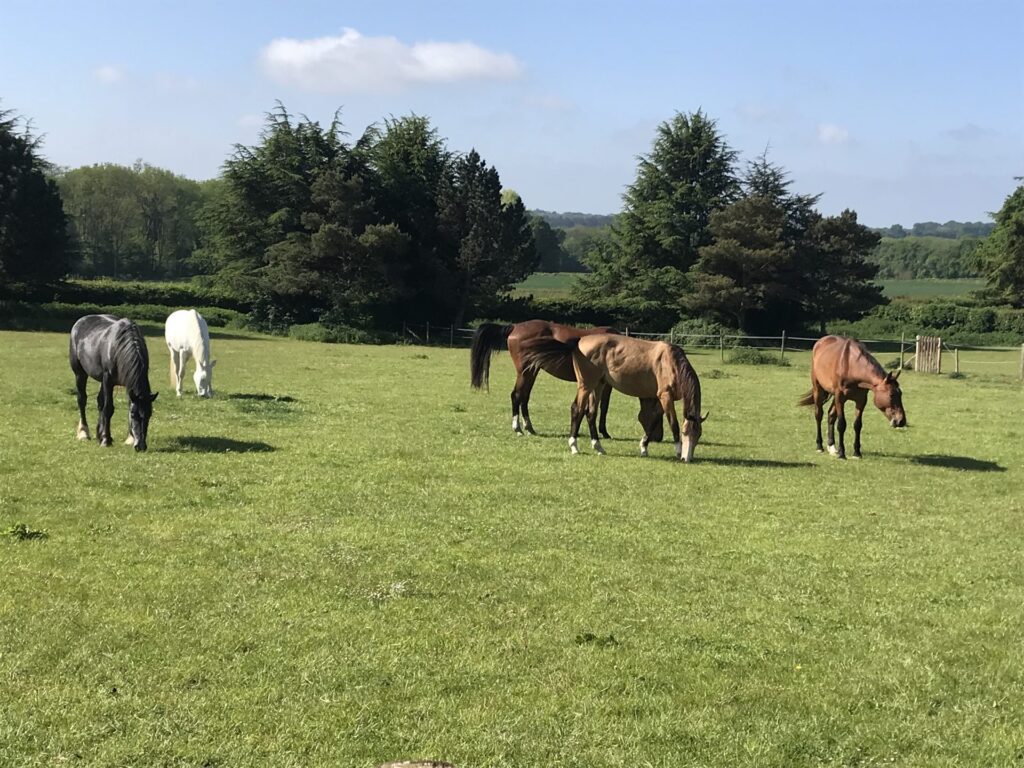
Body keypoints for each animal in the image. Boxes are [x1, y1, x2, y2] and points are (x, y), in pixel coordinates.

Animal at [70, 315, 157, 454]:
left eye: (149, 415)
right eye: (134, 415)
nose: (141, 446)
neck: (118, 348)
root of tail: (80, 321)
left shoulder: (128, 385)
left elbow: (123, 405)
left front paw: (129, 439)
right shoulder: (108, 380)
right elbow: (108, 408)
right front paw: (106, 440)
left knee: (99, 401)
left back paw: (99, 435)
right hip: (80, 374)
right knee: (82, 400)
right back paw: (84, 433)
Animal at [468, 319, 618, 438]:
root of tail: (515, 327)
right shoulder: (604, 385)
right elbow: (604, 406)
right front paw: (604, 432)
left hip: (532, 371)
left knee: (524, 397)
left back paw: (529, 427)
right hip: (525, 372)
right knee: (516, 395)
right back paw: (518, 428)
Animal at [520, 333, 704, 460]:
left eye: (698, 435)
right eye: (686, 433)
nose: (687, 459)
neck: (671, 362)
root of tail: (578, 342)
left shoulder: (660, 399)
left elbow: (652, 422)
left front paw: (644, 447)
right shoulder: (665, 396)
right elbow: (673, 423)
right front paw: (678, 450)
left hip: (599, 385)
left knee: (591, 413)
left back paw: (598, 447)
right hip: (586, 385)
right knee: (577, 410)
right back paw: (574, 446)